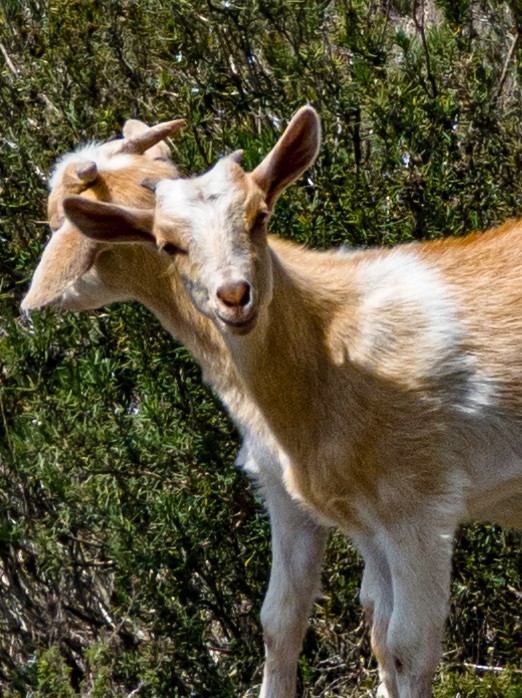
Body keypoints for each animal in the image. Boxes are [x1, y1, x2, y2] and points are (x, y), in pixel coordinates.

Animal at [63, 106, 522, 698]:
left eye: (259, 215)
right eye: (167, 244)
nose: (234, 296)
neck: (331, 359)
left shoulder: (420, 506)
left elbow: (409, 648)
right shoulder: (362, 520)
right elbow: (365, 633)